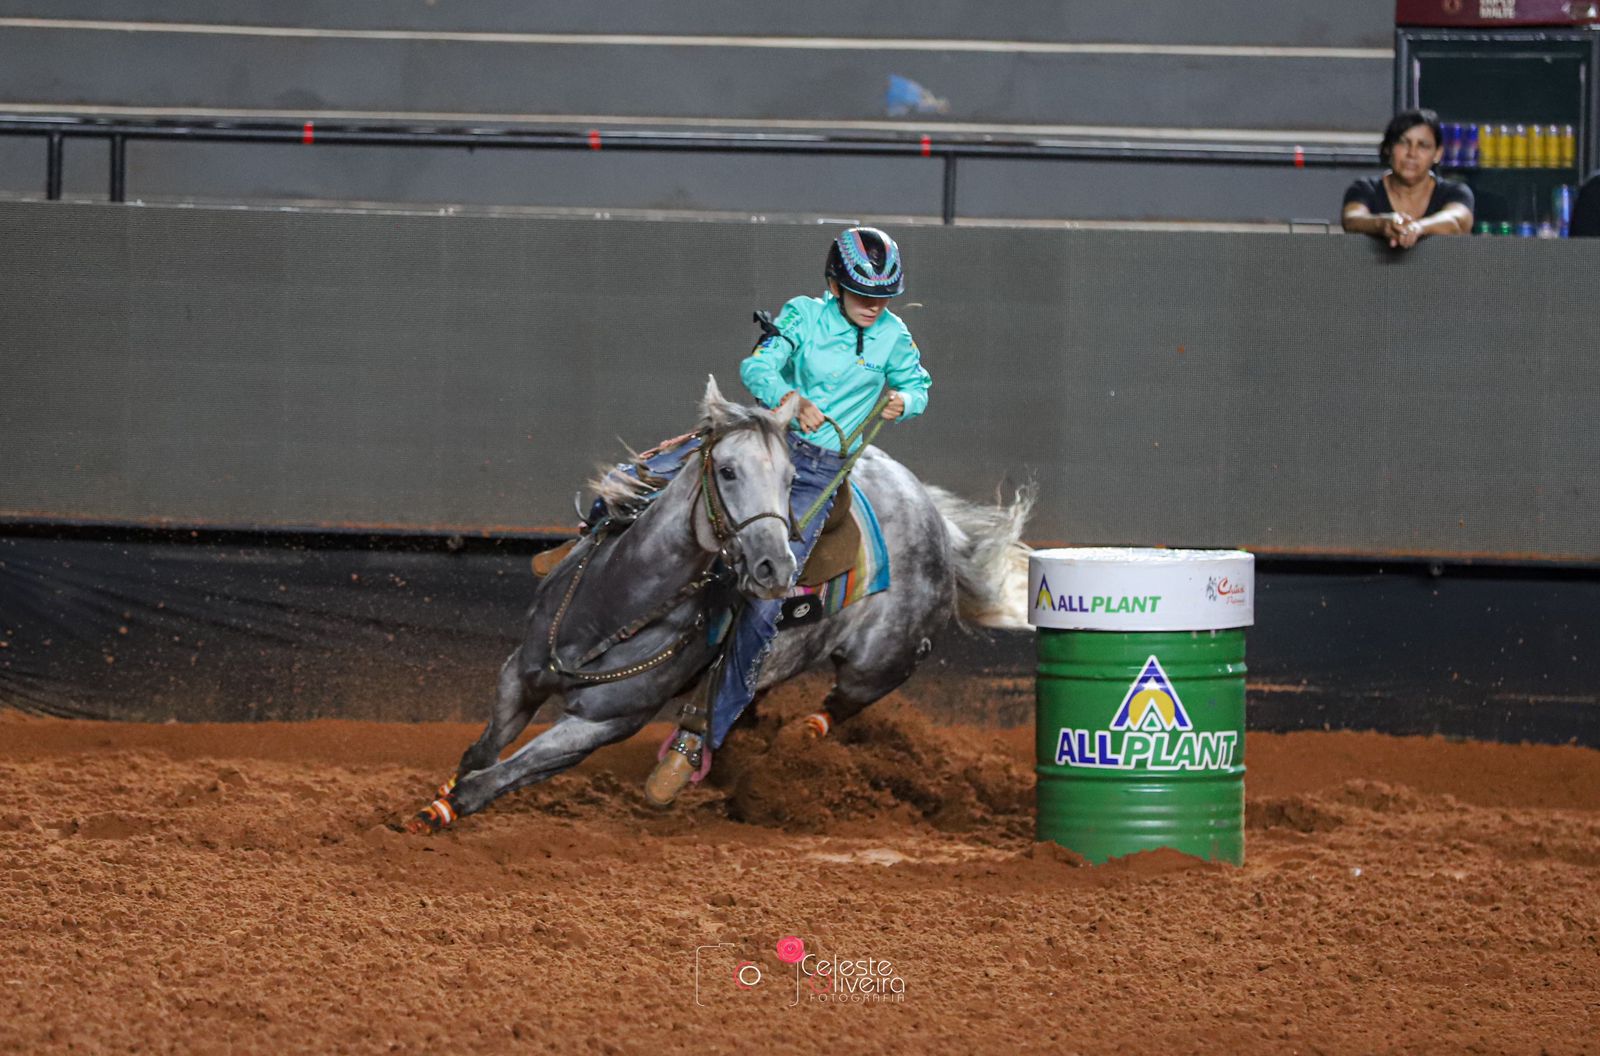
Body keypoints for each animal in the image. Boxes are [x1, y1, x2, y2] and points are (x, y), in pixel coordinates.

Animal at [412, 376, 1030, 832]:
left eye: (790, 480)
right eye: (727, 471)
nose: (776, 567)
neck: (609, 613)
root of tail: (936, 518)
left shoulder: (603, 723)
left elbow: (494, 779)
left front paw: (436, 813)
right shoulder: (519, 671)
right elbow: (481, 753)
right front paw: (439, 790)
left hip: (879, 666)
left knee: (835, 704)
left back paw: (793, 739)